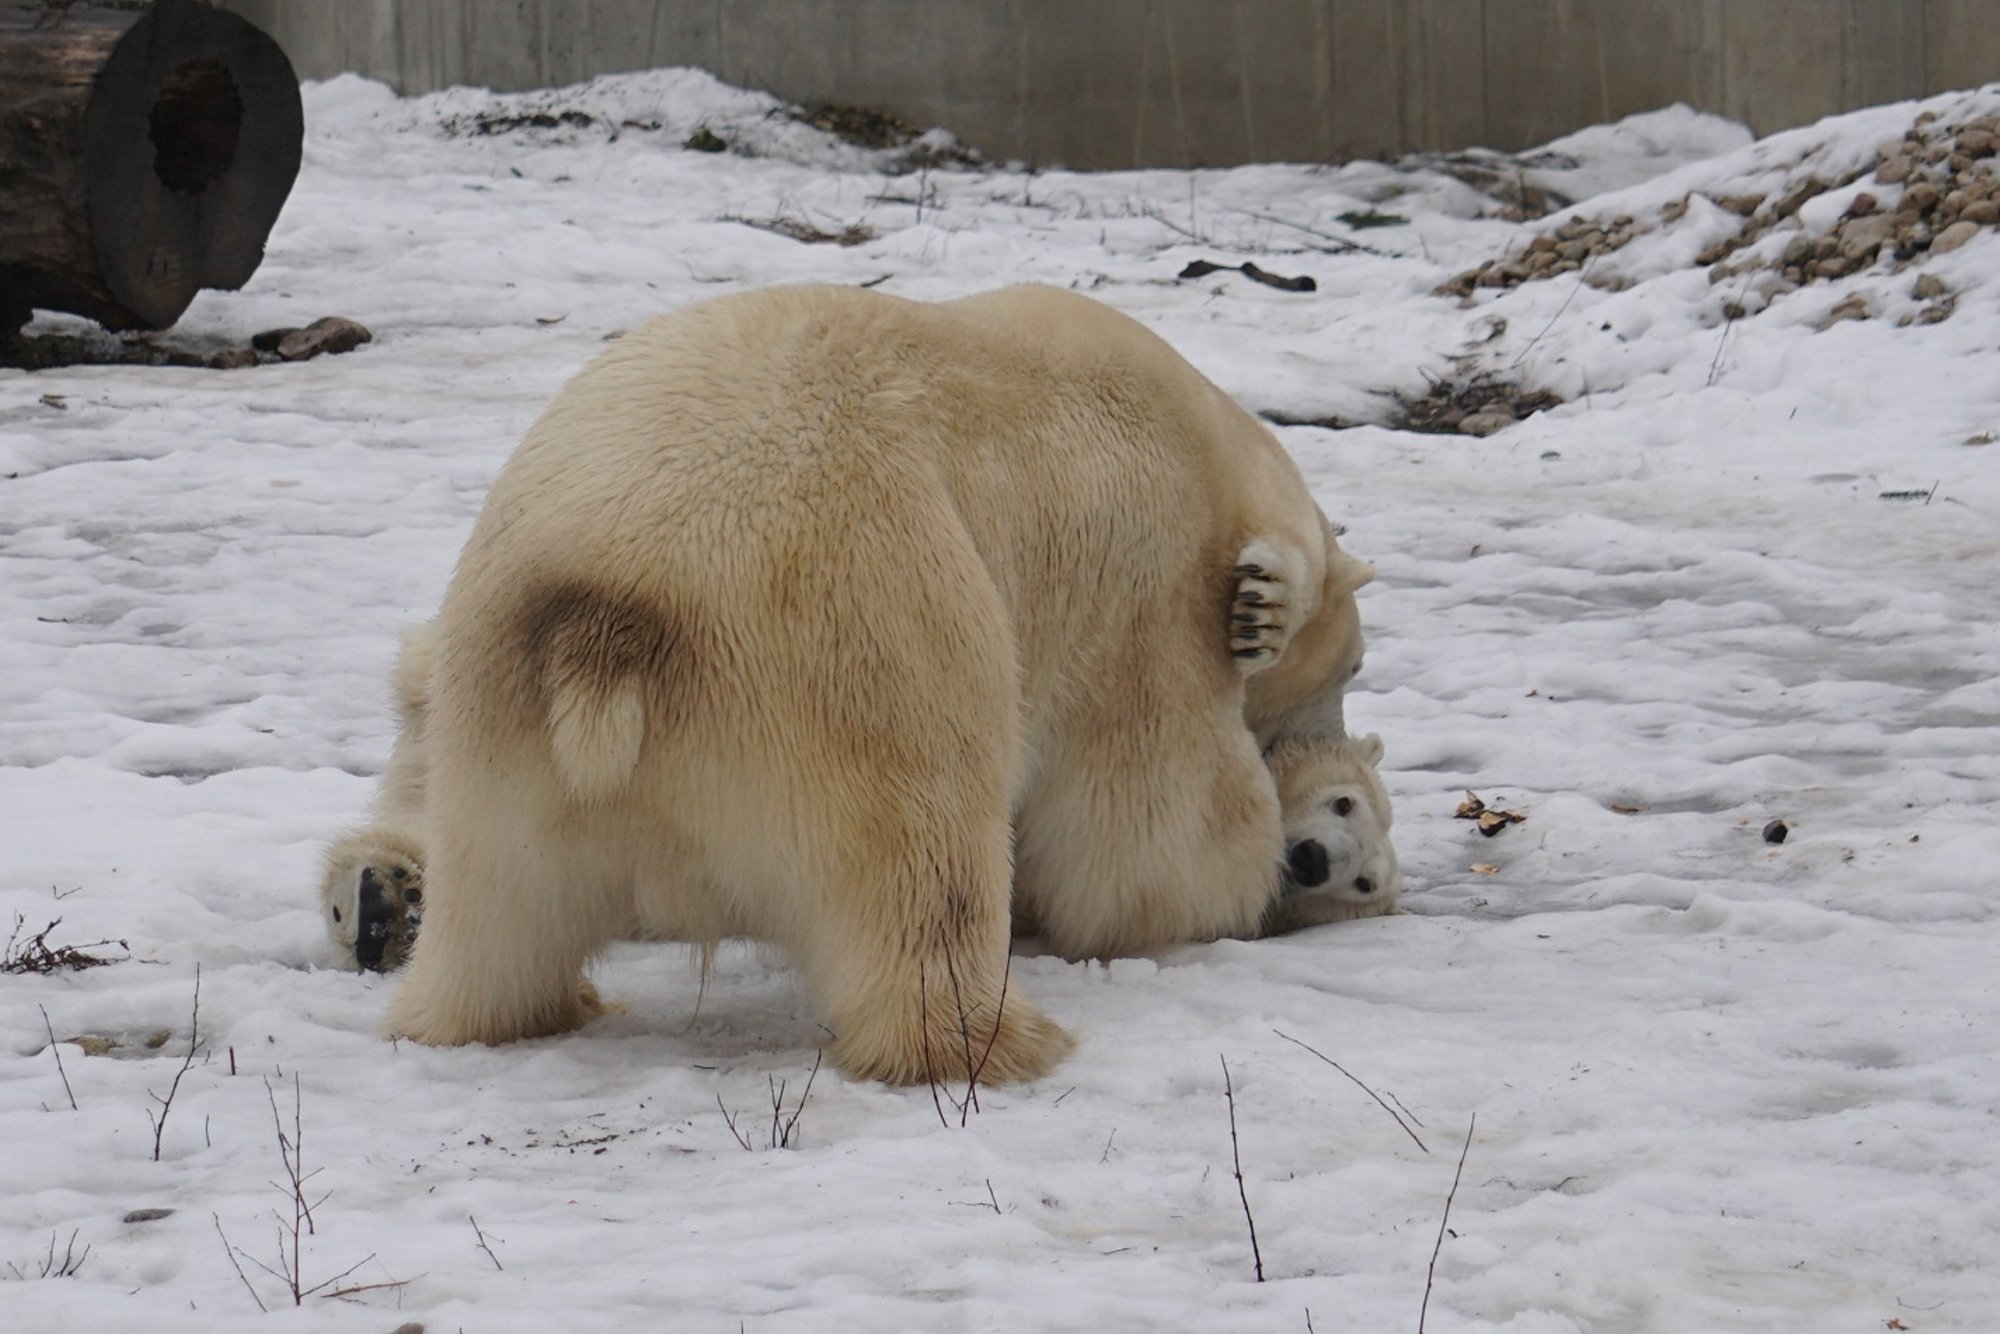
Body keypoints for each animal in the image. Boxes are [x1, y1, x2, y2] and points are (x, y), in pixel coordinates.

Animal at [344, 284, 1384, 1088]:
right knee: (922, 862)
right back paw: (996, 1040)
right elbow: (1147, 837)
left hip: (497, 705)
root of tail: (608, 619)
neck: (1212, 445)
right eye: (1355, 667)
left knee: (494, 916)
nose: (1327, 755)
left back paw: (466, 995)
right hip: (865, 635)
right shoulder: (1145, 595)